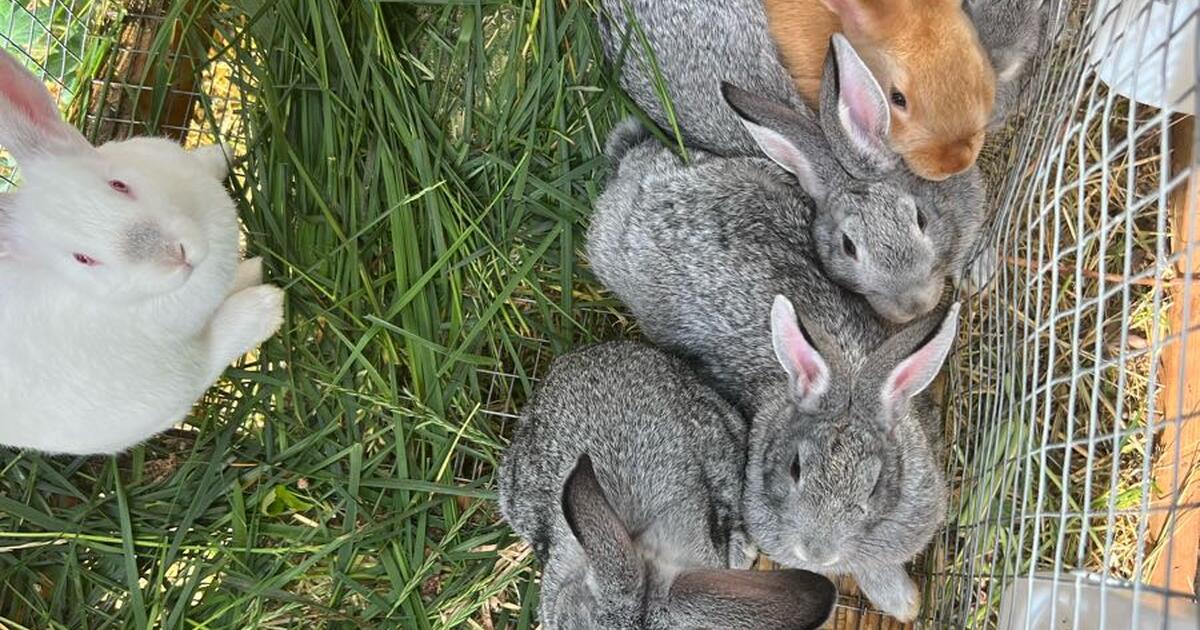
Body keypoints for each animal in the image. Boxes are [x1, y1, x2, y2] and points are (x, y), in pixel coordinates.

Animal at [0, 49, 284, 455]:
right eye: (83, 259)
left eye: (118, 184)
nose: (178, 255)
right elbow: (218, 344)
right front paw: (269, 302)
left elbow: (207, 163)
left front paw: (226, 151)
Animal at [586, 84, 961, 623]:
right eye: (795, 469)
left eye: (872, 487)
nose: (816, 551)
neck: (847, 364)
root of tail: (635, 175)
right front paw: (905, 603)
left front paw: (904, 603)